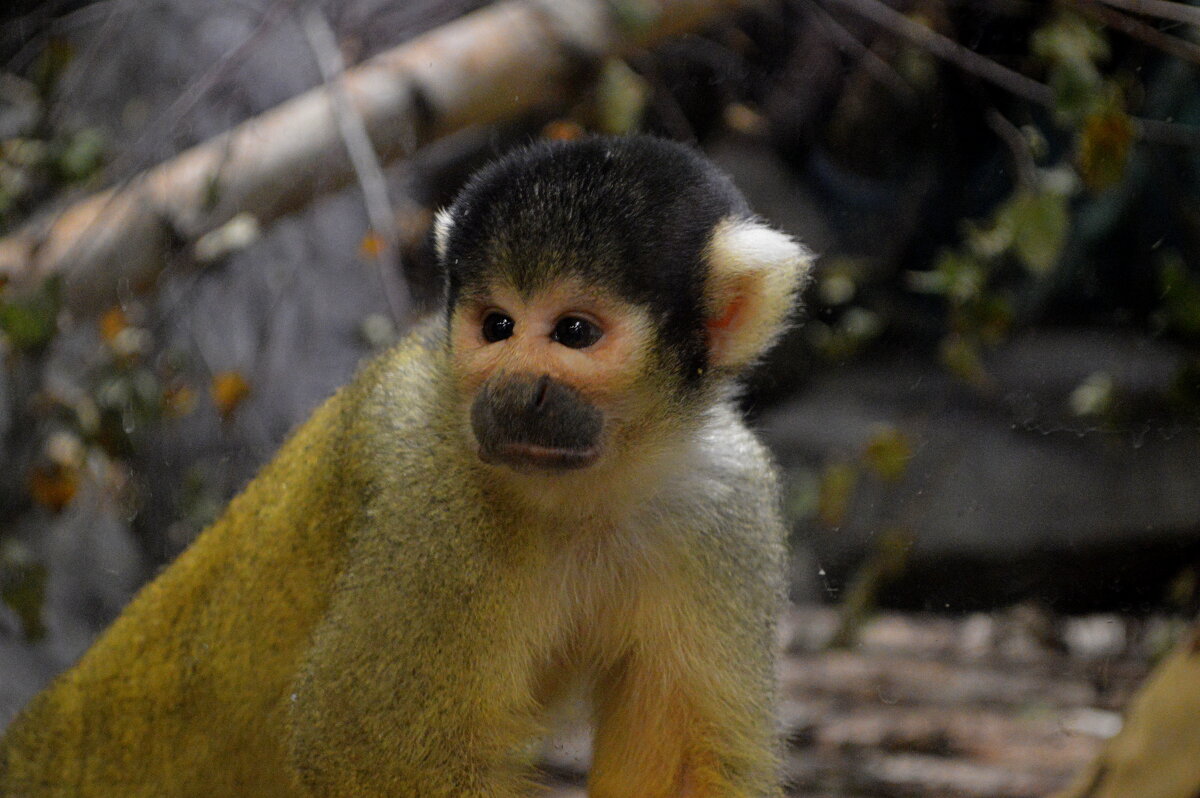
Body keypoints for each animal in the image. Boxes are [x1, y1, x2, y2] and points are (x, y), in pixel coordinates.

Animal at [0, 133, 811, 792]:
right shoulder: (435, 498)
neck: (589, 487)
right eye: (497, 327)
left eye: (573, 332)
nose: (515, 389)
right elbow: (366, 745)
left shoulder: (722, 506)